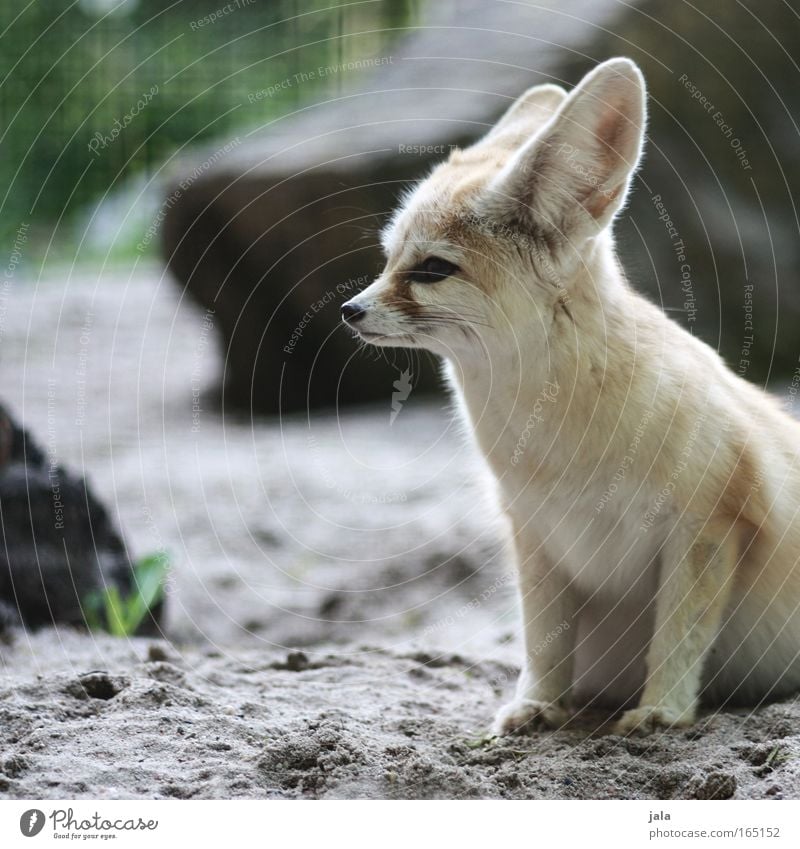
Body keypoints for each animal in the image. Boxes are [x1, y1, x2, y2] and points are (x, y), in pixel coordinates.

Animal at [340, 58, 800, 736]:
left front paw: (660, 712)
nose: (349, 311)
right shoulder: (535, 535)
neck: (560, 452)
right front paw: (536, 706)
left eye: (431, 270)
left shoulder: (709, 523)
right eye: (389, 258)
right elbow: (544, 641)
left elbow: (678, 635)